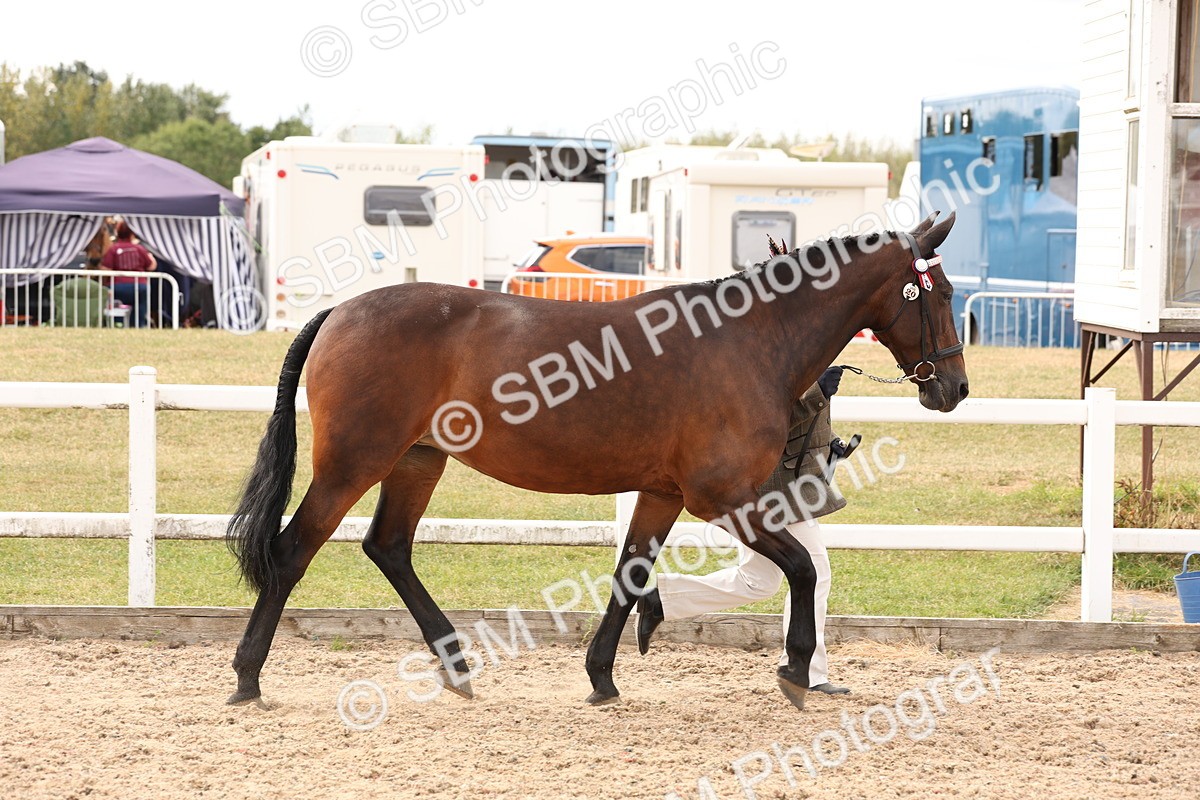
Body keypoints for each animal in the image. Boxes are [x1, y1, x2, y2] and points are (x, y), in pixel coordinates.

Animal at [225, 212, 966, 711]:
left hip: (417, 461)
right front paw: (794, 670)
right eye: (940, 293)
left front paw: (602, 676)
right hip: (355, 462)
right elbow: (805, 569)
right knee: (293, 551)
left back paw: (457, 666)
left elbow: (630, 574)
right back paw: (248, 677)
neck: (751, 340)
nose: (953, 387)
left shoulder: (664, 495)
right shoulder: (721, 498)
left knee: (389, 548)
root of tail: (339, 312)